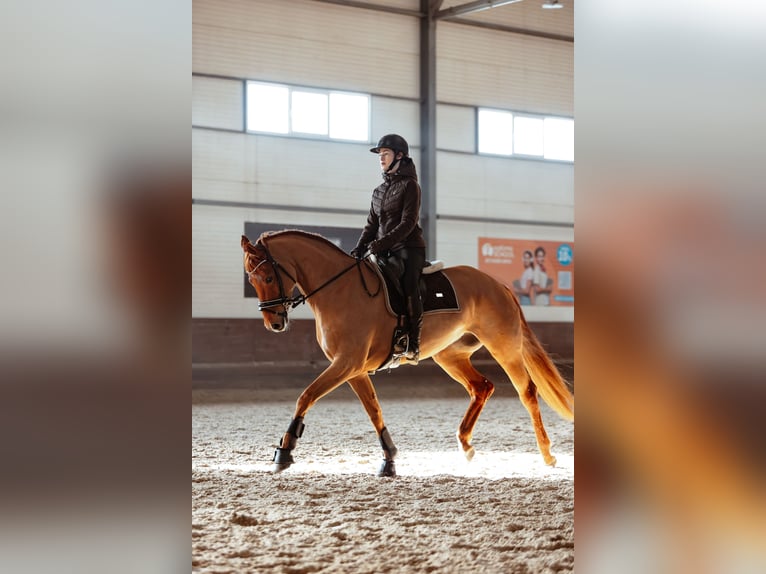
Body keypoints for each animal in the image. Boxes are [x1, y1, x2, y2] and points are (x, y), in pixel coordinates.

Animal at [241, 230, 574, 477]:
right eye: (251, 280)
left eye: (268, 277)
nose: (274, 323)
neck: (339, 290)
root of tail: (498, 285)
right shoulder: (353, 368)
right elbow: (374, 410)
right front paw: (389, 459)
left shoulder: (346, 363)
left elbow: (306, 396)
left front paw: (284, 452)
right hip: (449, 355)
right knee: (482, 387)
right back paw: (465, 445)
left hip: (503, 347)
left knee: (527, 391)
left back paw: (547, 454)